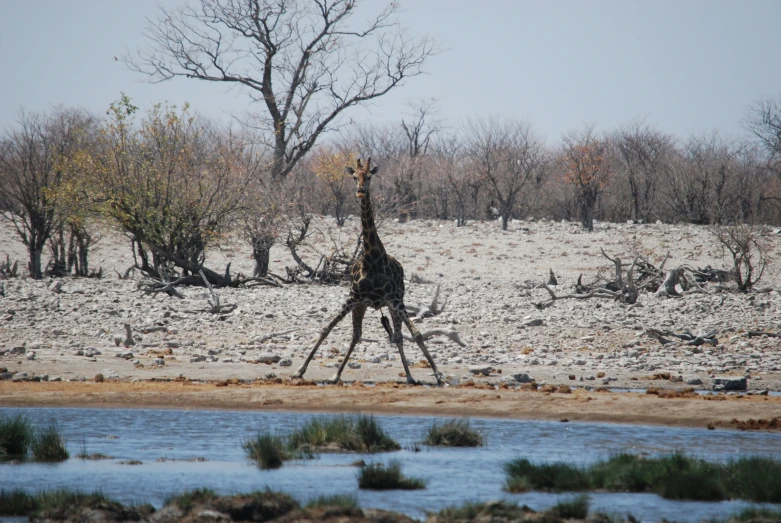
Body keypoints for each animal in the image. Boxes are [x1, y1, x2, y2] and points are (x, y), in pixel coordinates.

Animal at [290, 158, 442, 386]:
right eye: (354, 177)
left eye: (369, 176)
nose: (361, 191)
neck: (373, 258)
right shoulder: (354, 297)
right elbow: (327, 328)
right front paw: (299, 370)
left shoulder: (394, 300)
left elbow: (416, 334)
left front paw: (438, 374)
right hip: (362, 305)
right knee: (357, 335)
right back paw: (336, 375)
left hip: (394, 304)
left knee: (398, 336)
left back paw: (409, 375)